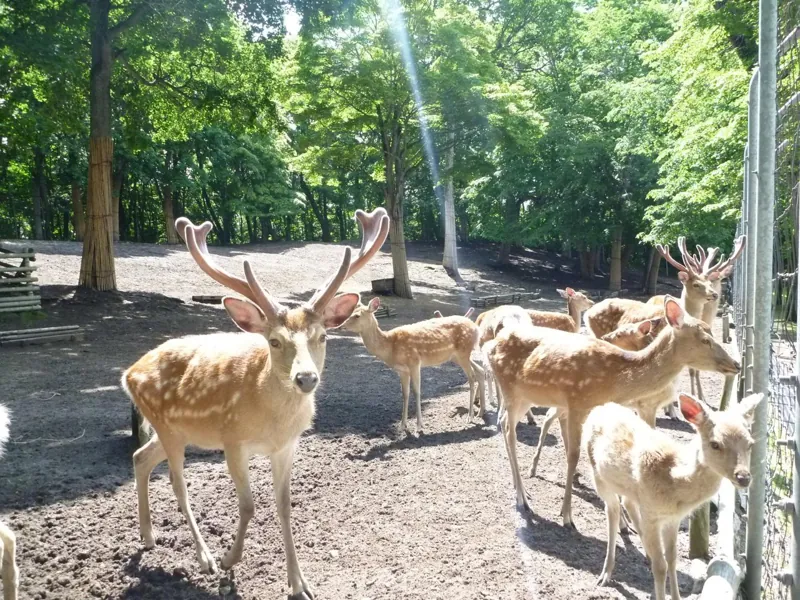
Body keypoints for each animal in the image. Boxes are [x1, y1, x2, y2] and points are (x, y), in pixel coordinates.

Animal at [122, 208, 389, 600]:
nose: (305, 378)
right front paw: (230, 561)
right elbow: (248, 505)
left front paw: (300, 585)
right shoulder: (233, 440)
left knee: (140, 457)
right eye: (274, 341)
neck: (272, 423)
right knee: (176, 482)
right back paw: (204, 557)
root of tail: (128, 372)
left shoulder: (287, 447)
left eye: (323, 336)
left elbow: (284, 506)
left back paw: (148, 535)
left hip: (174, 430)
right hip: (166, 426)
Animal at [341, 297, 483, 433]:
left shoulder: (414, 362)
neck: (390, 348)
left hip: (463, 352)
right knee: (479, 371)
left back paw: (470, 416)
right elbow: (405, 394)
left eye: (357, 315)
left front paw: (419, 425)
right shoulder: (402, 370)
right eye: (350, 311)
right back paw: (480, 411)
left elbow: (416, 391)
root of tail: (476, 328)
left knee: (472, 377)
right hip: (456, 357)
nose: (341, 325)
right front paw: (402, 426)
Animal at [485, 297, 740, 527]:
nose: (736, 364)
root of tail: (490, 346)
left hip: (527, 397)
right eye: (705, 339)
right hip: (510, 389)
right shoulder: (578, 402)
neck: (614, 381)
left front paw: (623, 523)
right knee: (508, 429)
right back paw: (522, 498)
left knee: (506, 423)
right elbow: (573, 455)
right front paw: (567, 516)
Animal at [584, 392, 763, 600]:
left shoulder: (673, 518)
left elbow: (672, 558)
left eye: (750, 444)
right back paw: (605, 574)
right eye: (715, 444)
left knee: (627, 502)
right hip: (598, 475)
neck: (674, 482)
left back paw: (644, 552)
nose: (743, 477)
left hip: (628, 490)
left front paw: (676, 595)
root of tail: (600, 408)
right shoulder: (652, 514)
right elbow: (660, 567)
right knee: (611, 509)